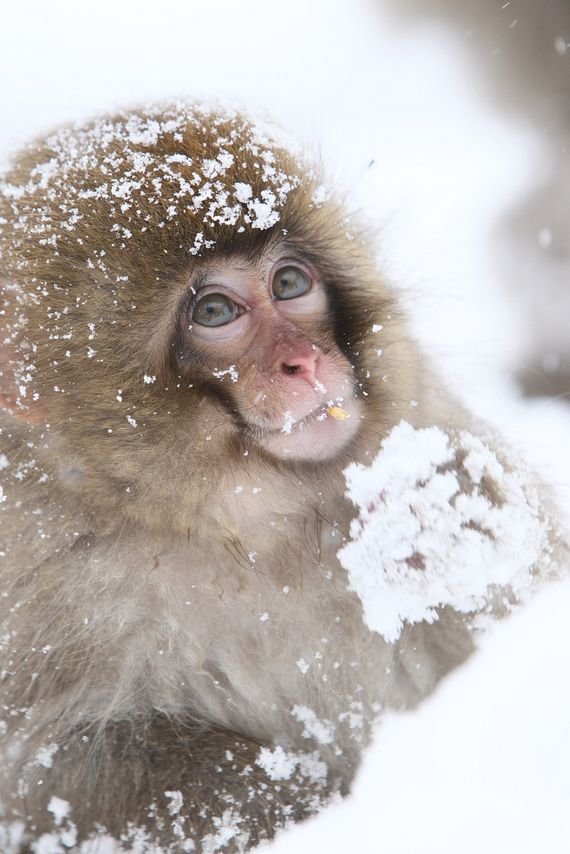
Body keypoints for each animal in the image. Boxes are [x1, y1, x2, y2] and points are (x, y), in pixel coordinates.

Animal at [0, 108, 560, 854]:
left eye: (290, 284)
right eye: (213, 312)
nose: (305, 363)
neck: (229, 528)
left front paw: (448, 518)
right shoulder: (39, 587)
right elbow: (57, 766)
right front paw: (311, 806)